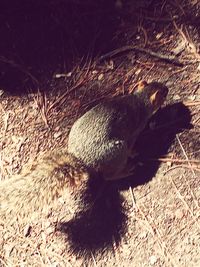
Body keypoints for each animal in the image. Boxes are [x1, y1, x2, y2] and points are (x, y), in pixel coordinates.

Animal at [0, 80, 168, 219]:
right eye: (162, 93)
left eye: (158, 84)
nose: (167, 88)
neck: (139, 100)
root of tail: (82, 161)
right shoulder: (135, 131)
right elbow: (132, 144)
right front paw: (134, 152)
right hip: (117, 151)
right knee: (109, 176)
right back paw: (126, 170)